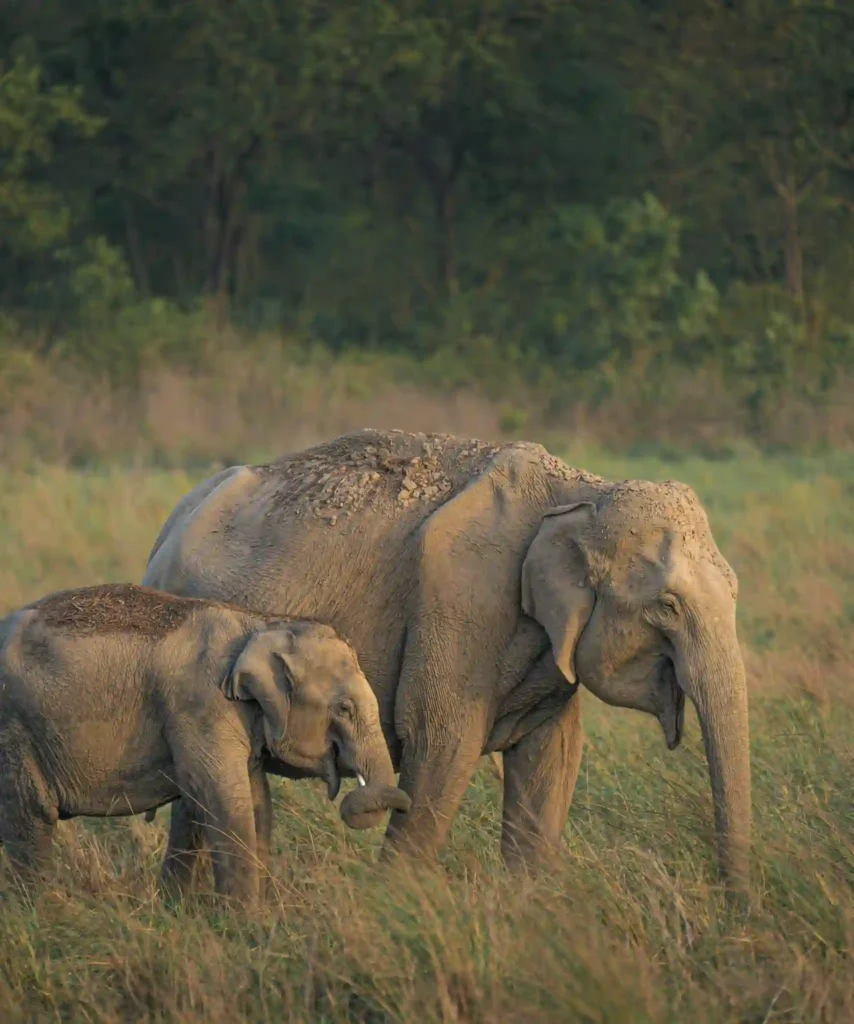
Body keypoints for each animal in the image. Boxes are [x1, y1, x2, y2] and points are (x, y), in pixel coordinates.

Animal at [0, 583, 410, 904]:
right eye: (344, 708)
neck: (260, 623)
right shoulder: (201, 706)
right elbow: (223, 800)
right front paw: (244, 925)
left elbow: (257, 802)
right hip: (14, 733)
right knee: (32, 816)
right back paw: (42, 914)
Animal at [143, 429, 751, 893]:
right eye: (667, 606)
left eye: (736, 589)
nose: (731, 904)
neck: (581, 489)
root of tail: (169, 526)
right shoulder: (463, 601)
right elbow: (444, 745)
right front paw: (393, 911)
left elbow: (553, 756)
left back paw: (181, 908)